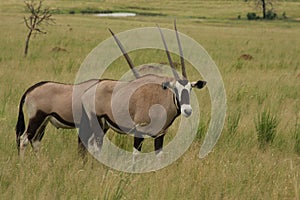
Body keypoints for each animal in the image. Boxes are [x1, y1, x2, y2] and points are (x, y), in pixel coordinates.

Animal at [78, 22, 207, 162]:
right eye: (175, 89)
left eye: (190, 89)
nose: (187, 110)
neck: (159, 99)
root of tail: (88, 91)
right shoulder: (139, 132)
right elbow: (136, 155)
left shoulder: (160, 135)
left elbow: (159, 156)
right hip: (96, 123)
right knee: (94, 146)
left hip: (103, 125)